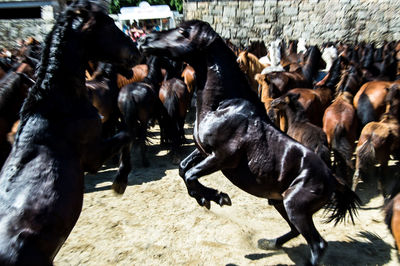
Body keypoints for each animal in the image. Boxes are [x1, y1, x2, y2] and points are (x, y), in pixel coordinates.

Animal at [0, 1, 141, 264]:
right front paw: (120, 182)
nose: (137, 53)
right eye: (109, 23)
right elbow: (127, 135)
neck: (55, 105)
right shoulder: (93, 156)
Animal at [138, 19, 360, 264]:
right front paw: (205, 198)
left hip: (295, 206)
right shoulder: (203, 151)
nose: (144, 40)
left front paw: (218, 197)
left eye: (182, 31)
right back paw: (268, 243)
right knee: (295, 231)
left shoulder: (222, 157)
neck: (222, 106)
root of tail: (332, 179)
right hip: (279, 202)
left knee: (317, 244)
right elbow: (182, 168)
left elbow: (190, 174)